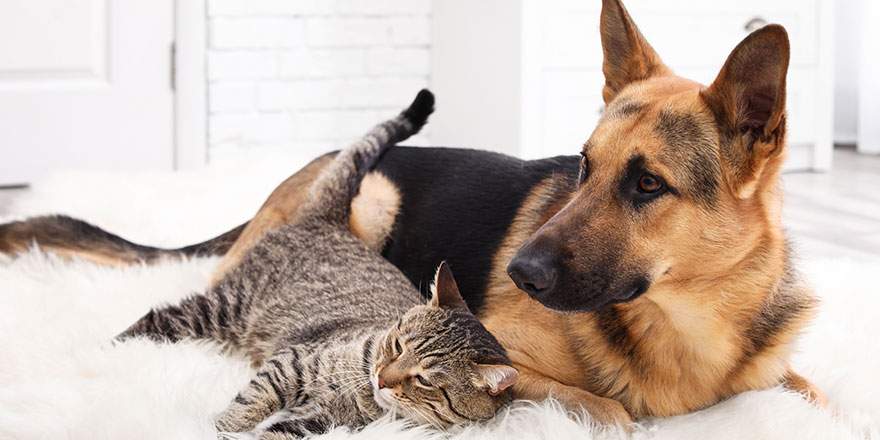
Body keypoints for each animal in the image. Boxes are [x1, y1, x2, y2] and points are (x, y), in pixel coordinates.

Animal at [116, 90, 516, 440]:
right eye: (398, 346)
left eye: (425, 380)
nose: (383, 378)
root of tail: (329, 219)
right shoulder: (289, 364)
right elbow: (246, 407)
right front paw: (218, 430)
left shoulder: (318, 422)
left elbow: (276, 432)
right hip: (224, 307)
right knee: (157, 318)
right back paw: (108, 351)